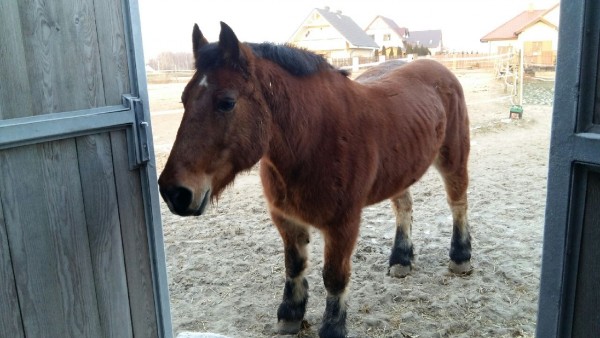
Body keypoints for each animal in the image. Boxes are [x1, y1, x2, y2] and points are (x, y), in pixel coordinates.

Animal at [159, 21, 474, 338]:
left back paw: (460, 256)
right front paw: (290, 314)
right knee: (404, 208)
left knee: (457, 203)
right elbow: (294, 266)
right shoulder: (286, 218)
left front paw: (333, 326)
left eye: (226, 102)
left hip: (453, 160)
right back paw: (401, 259)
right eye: (184, 99)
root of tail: (439, 69)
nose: (174, 193)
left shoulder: (342, 224)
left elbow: (334, 277)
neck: (314, 139)